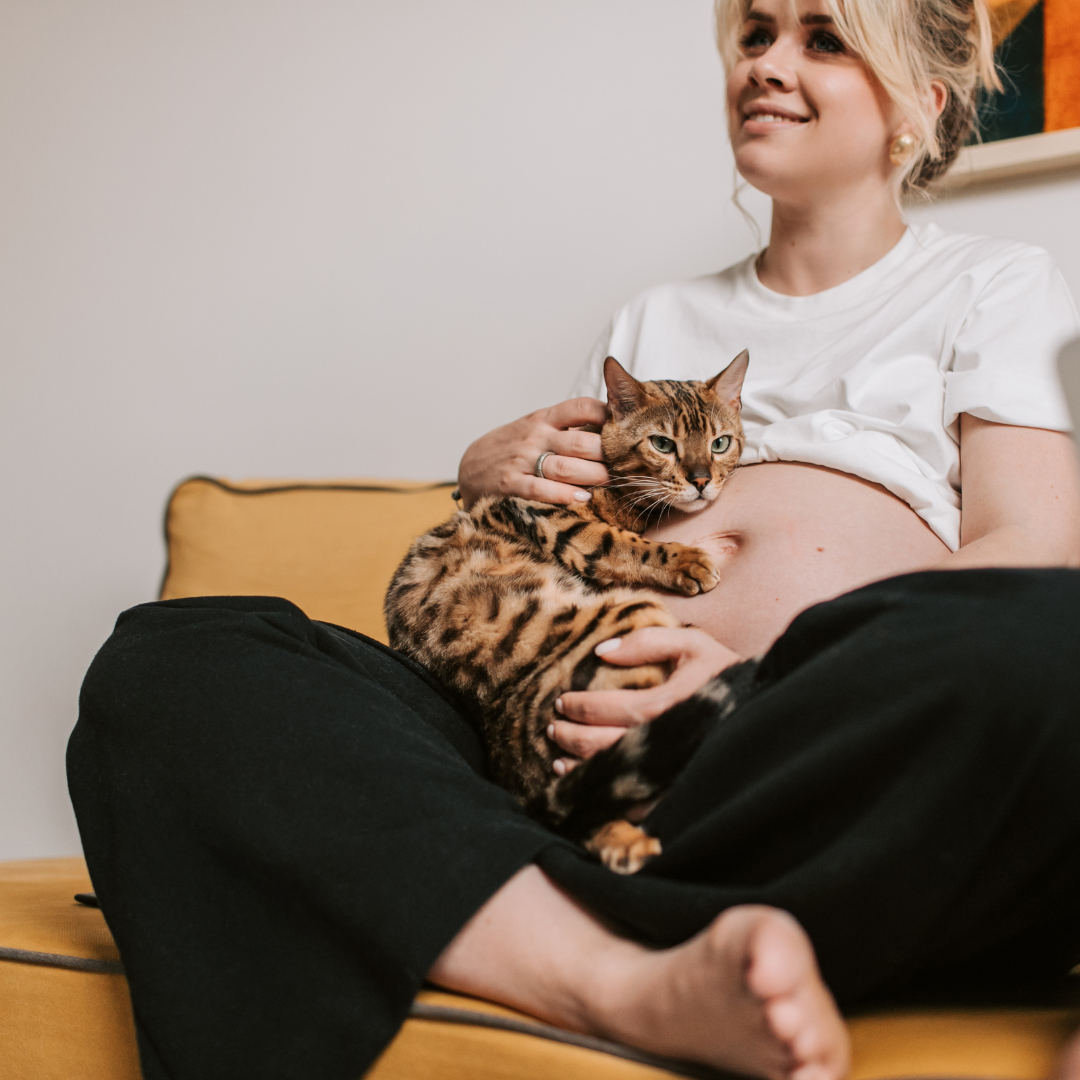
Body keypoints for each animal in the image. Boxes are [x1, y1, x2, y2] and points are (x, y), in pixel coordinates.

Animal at [385, 352, 751, 873]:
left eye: (720, 443)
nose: (701, 481)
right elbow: (625, 545)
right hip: (632, 618)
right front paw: (685, 560)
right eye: (663, 443)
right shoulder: (558, 518)